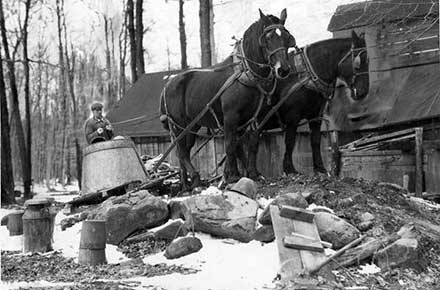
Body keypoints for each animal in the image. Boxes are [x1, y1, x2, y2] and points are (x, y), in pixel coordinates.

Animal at [160, 9, 298, 188]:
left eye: (287, 37)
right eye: (268, 38)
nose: (283, 69)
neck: (247, 74)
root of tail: (168, 84)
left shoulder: (257, 117)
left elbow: (251, 144)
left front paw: (253, 174)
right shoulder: (231, 117)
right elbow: (231, 145)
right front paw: (231, 176)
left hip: (192, 125)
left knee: (184, 150)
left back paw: (186, 183)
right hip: (179, 124)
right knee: (182, 152)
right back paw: (195, 178)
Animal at [246, 30, 370, 178]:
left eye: (368, 61)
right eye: (358, 62)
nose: (363, 92)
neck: (306, 75)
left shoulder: (315, 116)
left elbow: (315, 140)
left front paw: (320, 168)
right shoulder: (292, 117)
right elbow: (290, 141)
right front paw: (289, 169)